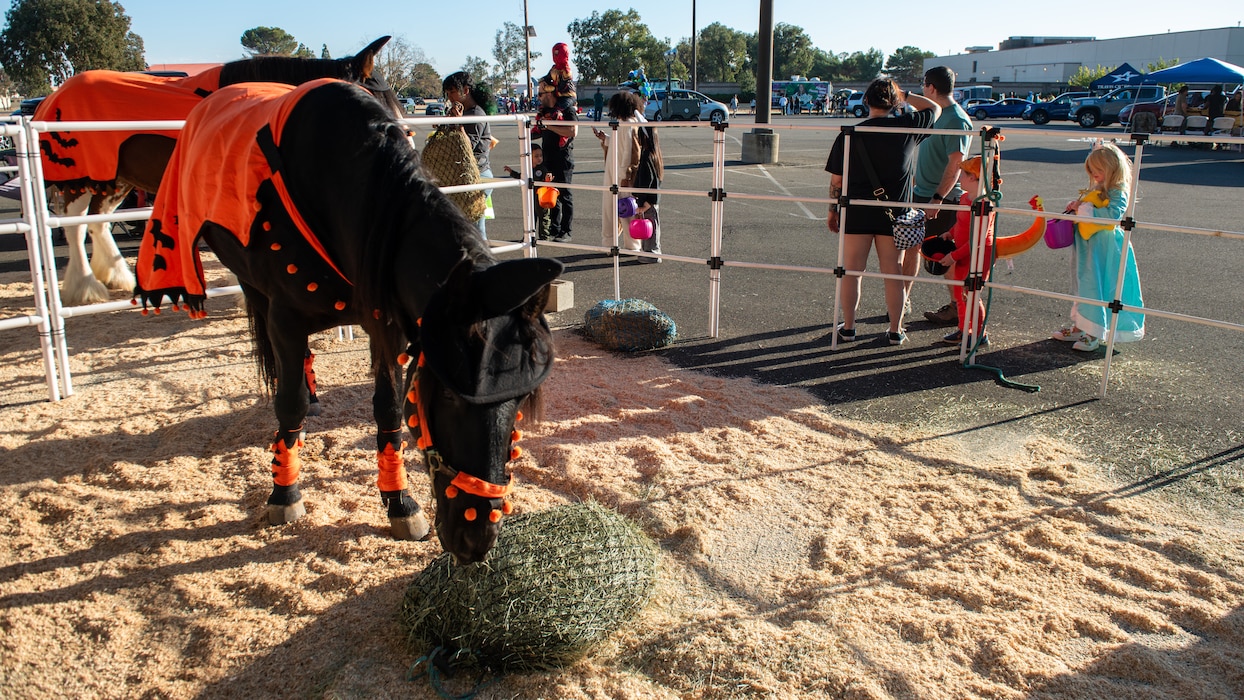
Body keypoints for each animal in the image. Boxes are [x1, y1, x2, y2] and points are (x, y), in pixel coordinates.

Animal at [31, 37, 398, 307]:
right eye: (375, 101)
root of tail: (51, 98)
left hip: (114, 179)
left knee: (98, 222)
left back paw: (117, 274)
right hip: (80, 179)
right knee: (74, 226)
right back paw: (85, 286)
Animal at [132, 79, 559, 566]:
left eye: (521, 399)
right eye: (450, 396)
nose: (475, 540)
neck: (353, 190)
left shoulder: (383, 323)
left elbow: (388, 409)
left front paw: (400, 503)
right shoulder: (286, 317)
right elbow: (290, 405)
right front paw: (284, 494)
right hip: (247, 281)